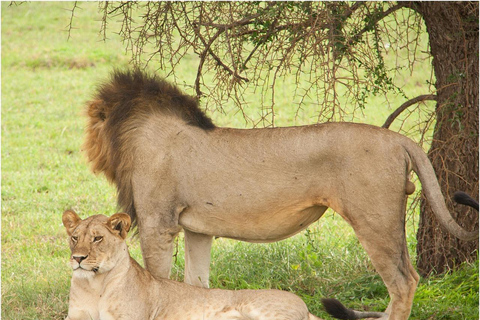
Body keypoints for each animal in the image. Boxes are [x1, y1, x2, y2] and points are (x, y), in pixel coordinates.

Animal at [62, 210, 382, 320]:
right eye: (74, 238)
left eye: (97, 238)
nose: (77, 258)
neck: (95, 284)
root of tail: (302, 304)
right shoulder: (75, 317)